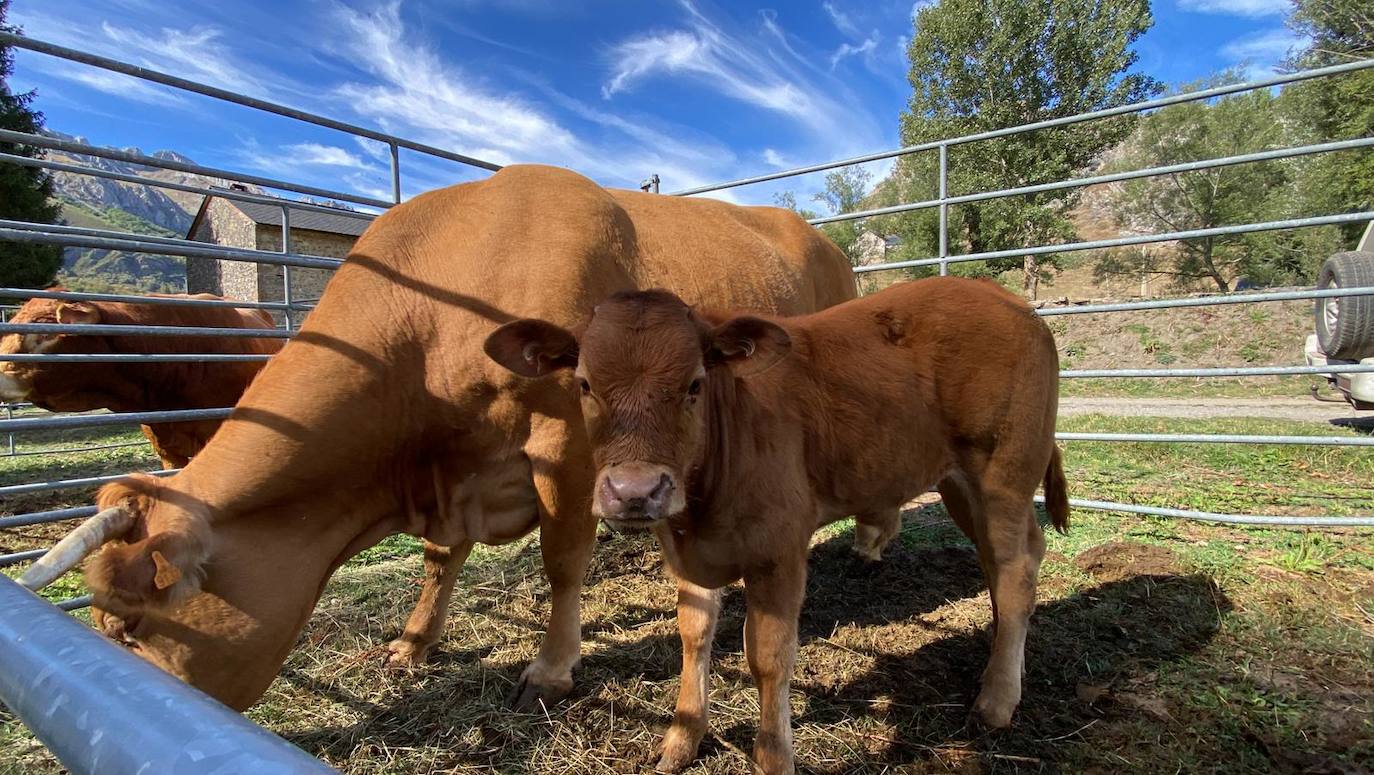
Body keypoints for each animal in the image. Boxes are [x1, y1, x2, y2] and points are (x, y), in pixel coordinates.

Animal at [486, 280, 1071, 775]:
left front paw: (773, 757)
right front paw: (682, 738)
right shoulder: (685, 552)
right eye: (585, 384)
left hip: (1003, 474)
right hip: (961, 484)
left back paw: (996, 699)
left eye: (694, 384)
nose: (636, 491)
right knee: (1009, 561)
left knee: (1016, 571)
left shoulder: (780, 552)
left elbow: (768, 658)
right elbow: (693, 634)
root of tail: (1011, 302)